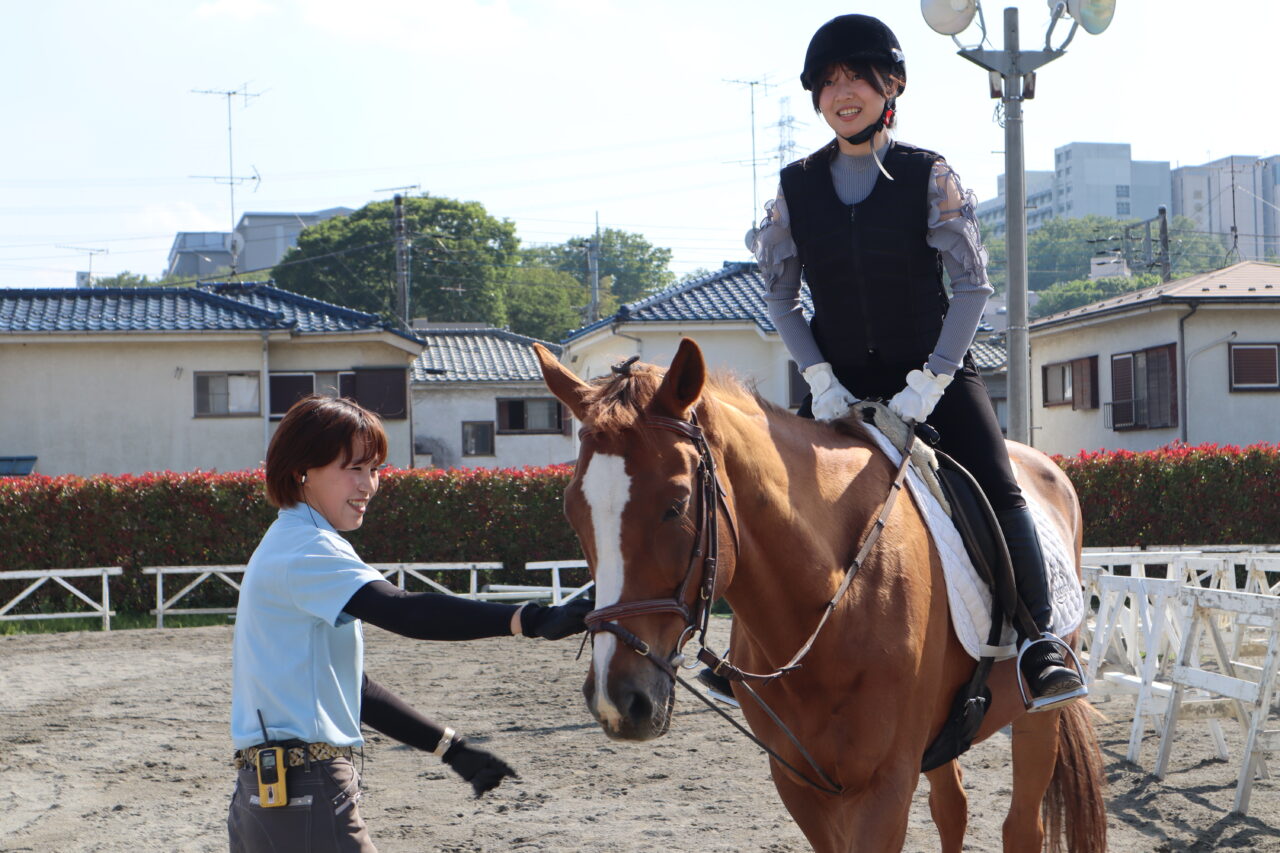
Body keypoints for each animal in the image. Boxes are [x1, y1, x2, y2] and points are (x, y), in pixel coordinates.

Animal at [534, 338, 1106, 853]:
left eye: (675, 506)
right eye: (571, 509)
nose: (617, 701)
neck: (832, 604)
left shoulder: (885, 784)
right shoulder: (800, 782)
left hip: (1037, 719)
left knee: (1022, 828)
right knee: (952, 809)